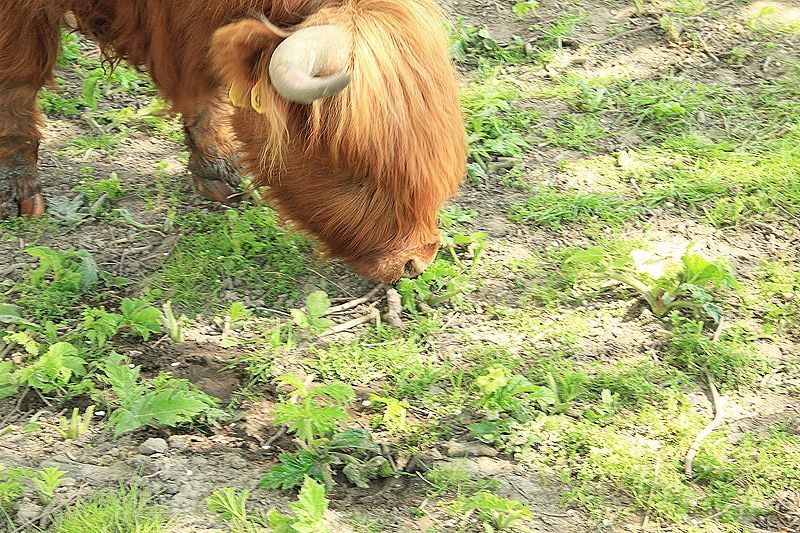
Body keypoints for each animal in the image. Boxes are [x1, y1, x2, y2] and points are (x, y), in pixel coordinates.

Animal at [0, 0, 466, 282]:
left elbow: (202, 92)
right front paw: (18, 188)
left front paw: (218, 171)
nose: (418, 259)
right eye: (355, 172)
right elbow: (16, 80)